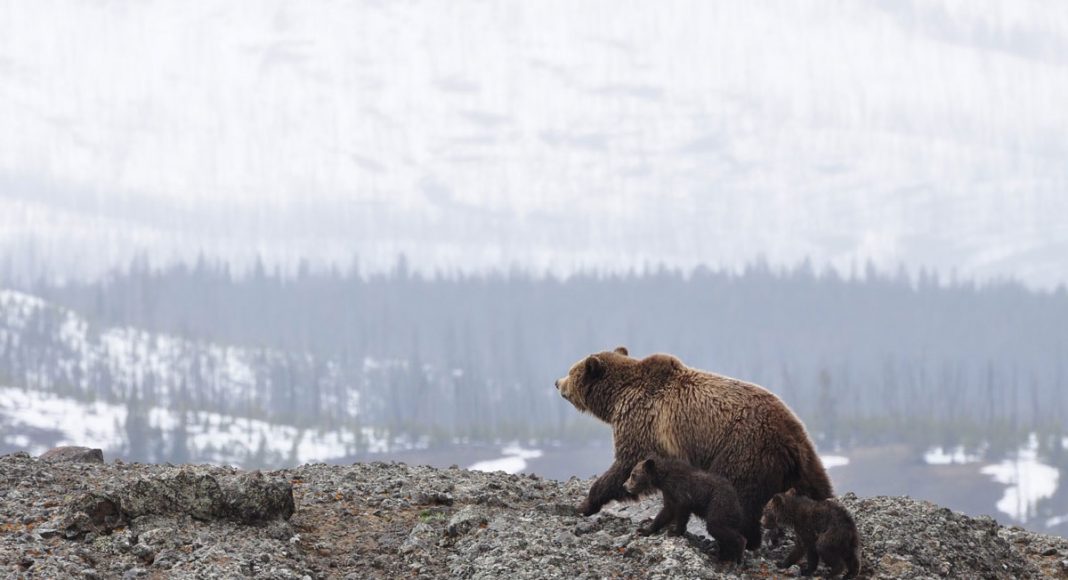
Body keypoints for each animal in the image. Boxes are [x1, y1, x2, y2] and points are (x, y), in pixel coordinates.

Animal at [554, 346, 833, 549]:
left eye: (571, 370)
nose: (557, 381)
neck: (616, 399)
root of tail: (790, 437)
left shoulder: (642, 422)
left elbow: (626, 464)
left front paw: (585, 504)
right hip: (804, 459)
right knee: (818, 489)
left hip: (743, 449)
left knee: (738, 497)